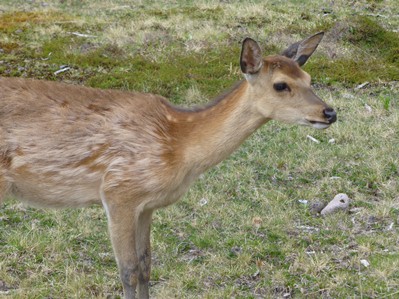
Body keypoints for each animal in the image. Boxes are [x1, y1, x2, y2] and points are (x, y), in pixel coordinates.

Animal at [0, 31, 338, 298]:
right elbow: (127, 270)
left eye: (309, 79)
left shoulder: (146, 205)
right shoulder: (118, 191)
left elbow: (146, 264)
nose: (329, 113)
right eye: (281, 85)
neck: (179, 146)